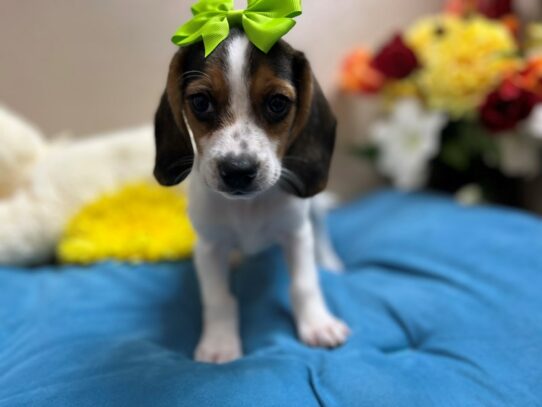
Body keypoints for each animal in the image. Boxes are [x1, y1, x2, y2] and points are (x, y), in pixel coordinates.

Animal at [155, 30, 350, 364]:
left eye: (277, 103)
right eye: (201, 102)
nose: (238, 170)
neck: (247, 207)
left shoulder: (296, 234)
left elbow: (304, 283)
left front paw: (317, 324)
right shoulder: (208, 247)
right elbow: (218, 298)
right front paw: (220, 343)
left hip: (314, 209)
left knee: (321, 232)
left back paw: (329, 261)